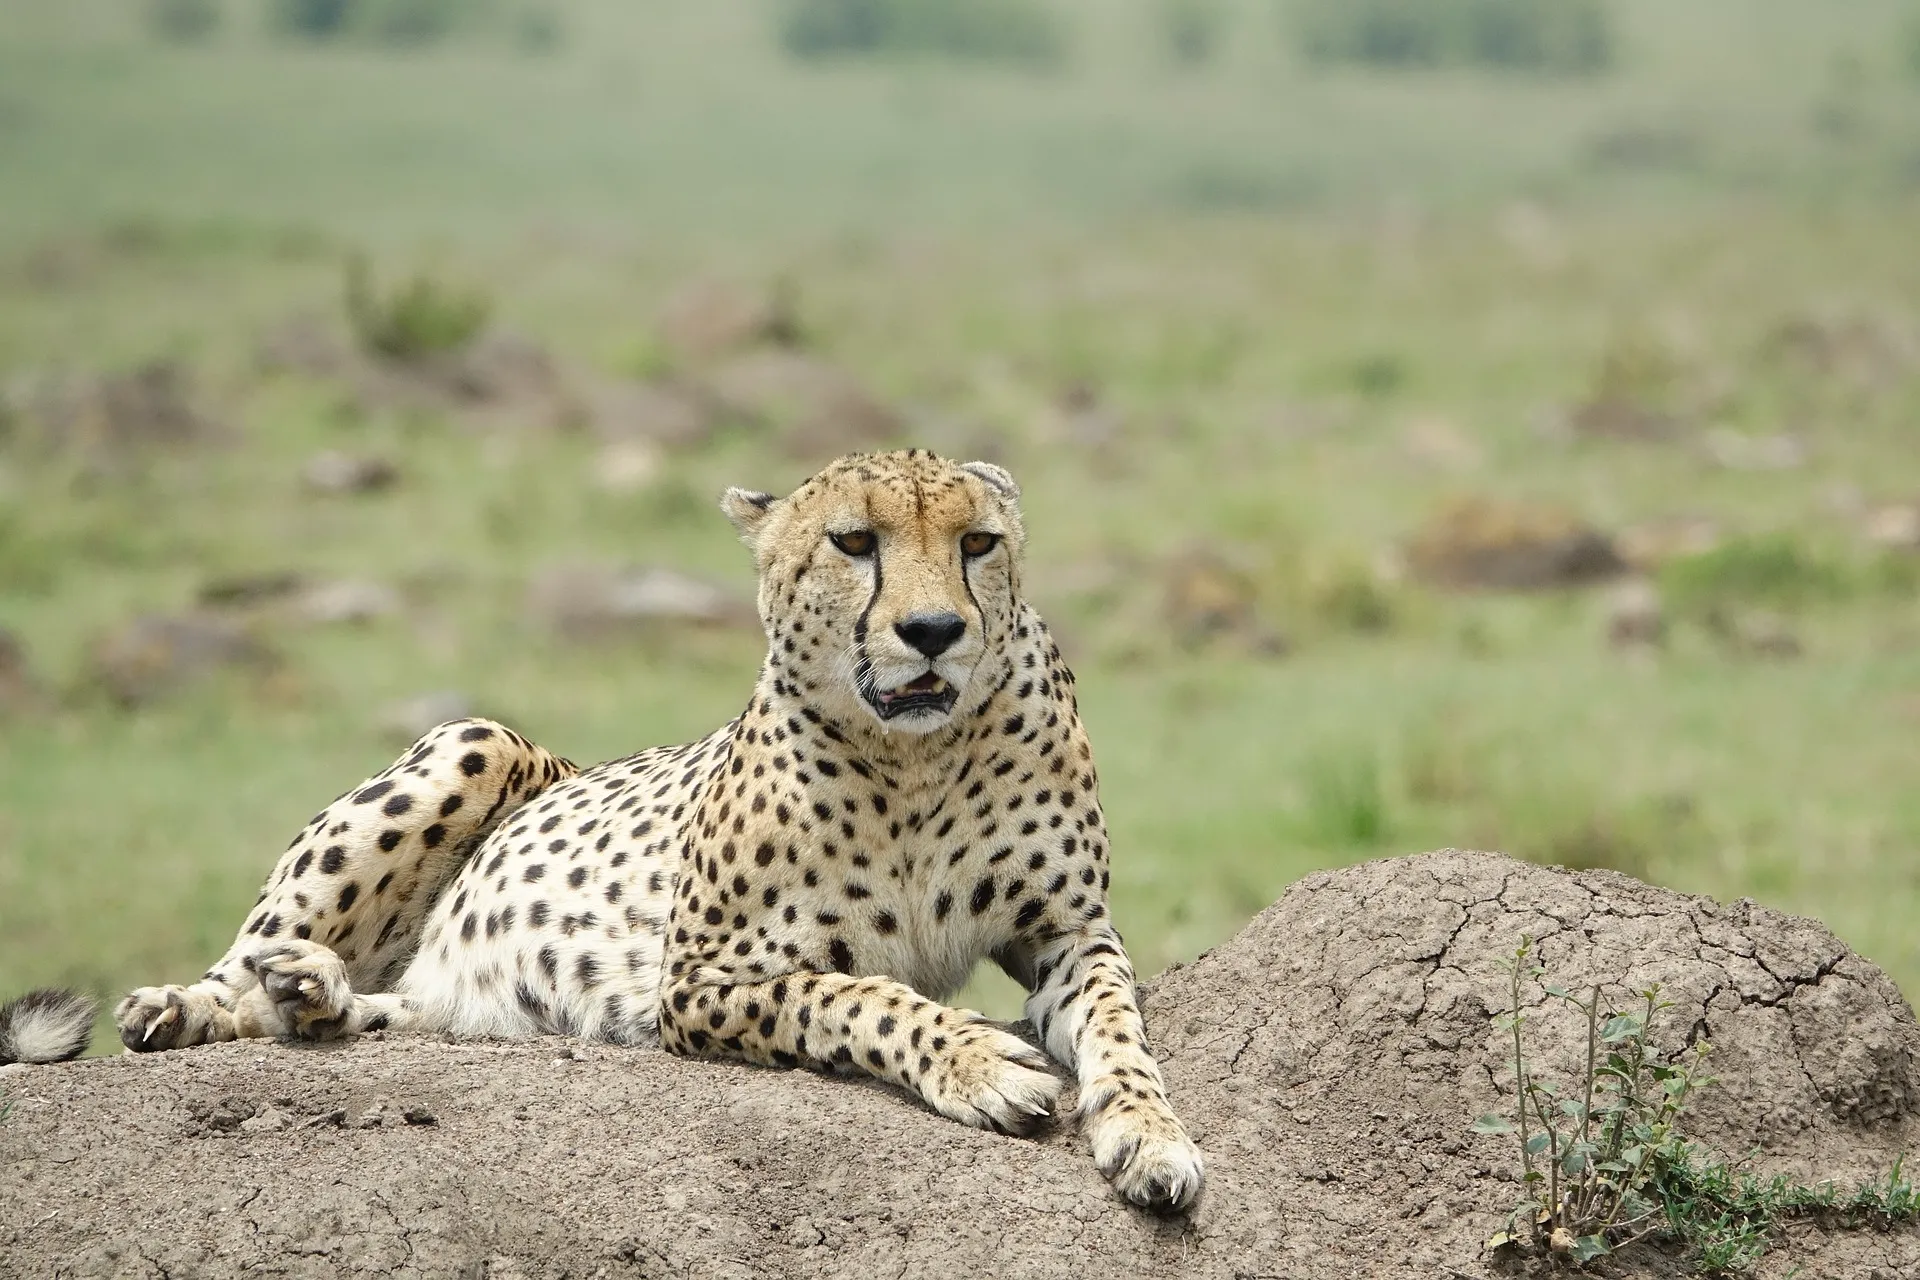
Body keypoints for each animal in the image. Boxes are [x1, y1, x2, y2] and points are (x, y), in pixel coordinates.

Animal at [15, 458, 1205, 1212]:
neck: (911, 754)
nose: (934, 631)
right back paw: (195, 1002)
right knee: (246, 968)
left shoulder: (1068, 931)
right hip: (476, 740)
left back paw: (319, 995)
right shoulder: (706, 978)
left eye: (978, 543)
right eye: (855, 542)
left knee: (390, 1008)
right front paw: (978, 1059)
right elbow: (860, 994)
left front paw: (1152, 1137)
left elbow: (1118, 1028)